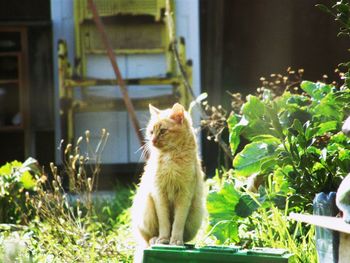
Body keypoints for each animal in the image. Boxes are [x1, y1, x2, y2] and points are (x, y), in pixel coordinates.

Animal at [133, 102, 206, 250]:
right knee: (147, 238)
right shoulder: (159, 194)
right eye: (151, 132)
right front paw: (163, 239)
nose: (152, 141)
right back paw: (155, 239)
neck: (170, 157)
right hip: (146, 208)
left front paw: (176, 241)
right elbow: (164, 222)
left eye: (162, 131)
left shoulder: (185, 195)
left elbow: (178, 223)